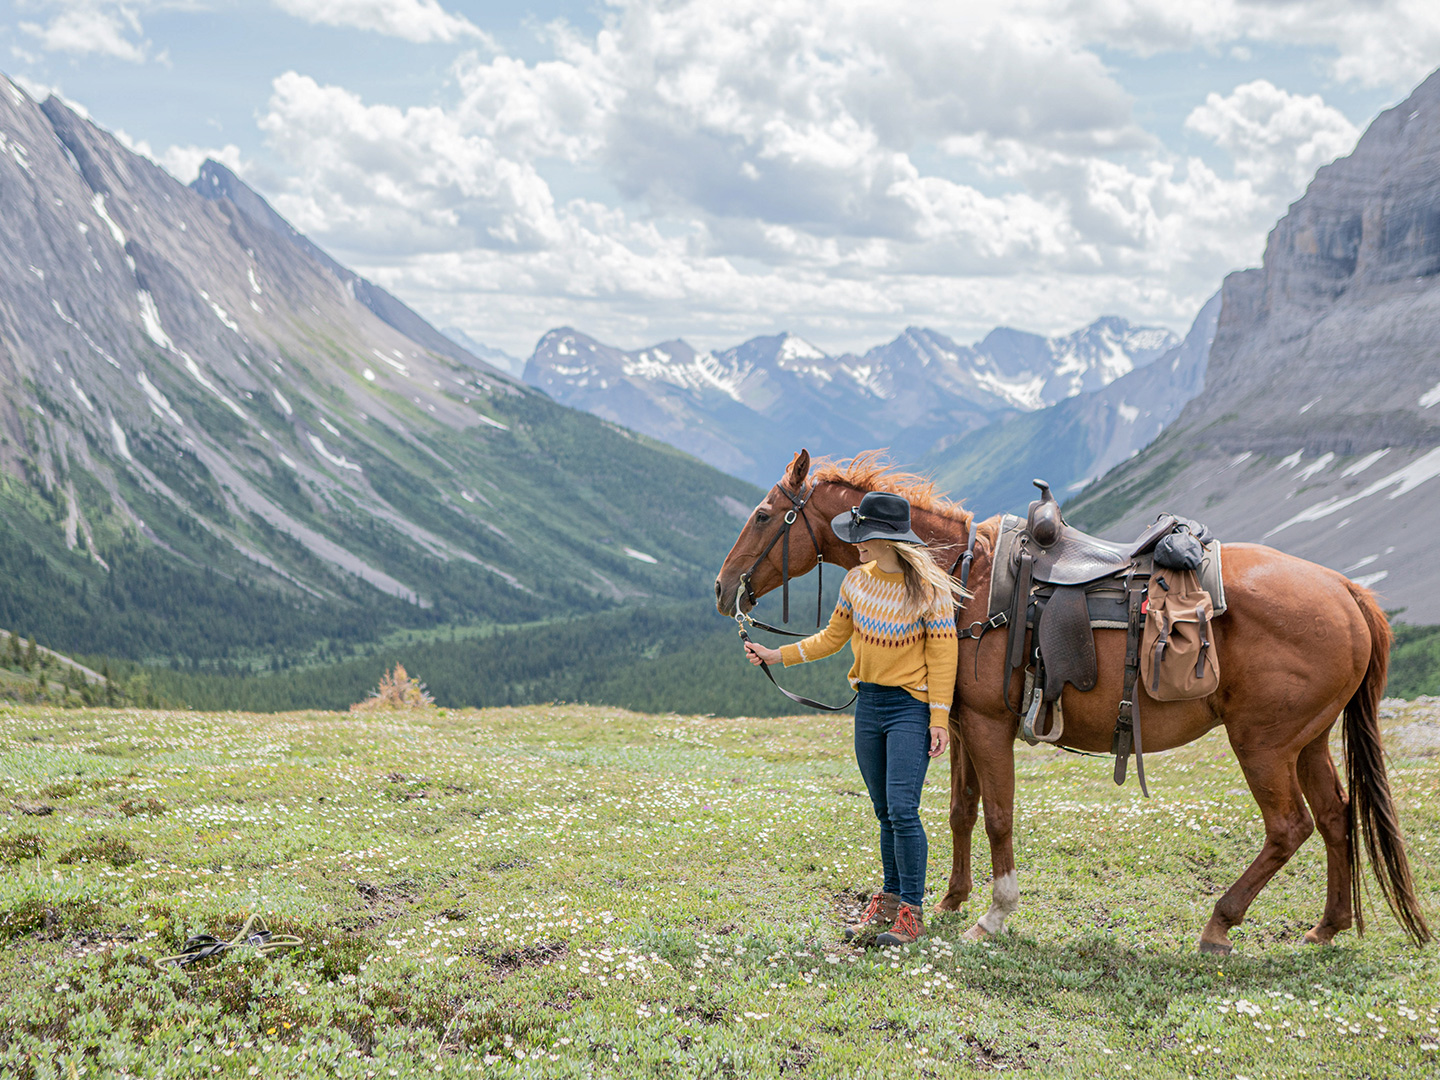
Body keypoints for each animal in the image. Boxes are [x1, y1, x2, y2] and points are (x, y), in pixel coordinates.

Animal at [714, 449, 1431, 953]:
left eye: (762, 516)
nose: (723, 589)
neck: (961, 579)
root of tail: (1346, 590)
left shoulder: (989, 726)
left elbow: (998, 816)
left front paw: (994, 915)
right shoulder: (960, 723)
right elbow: (960, 812)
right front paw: (951, 901)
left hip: (1263, 743)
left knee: (1290, 827)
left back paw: (1219, 925)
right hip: (1307, 741)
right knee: (1337, 818)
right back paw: (1326, 927)